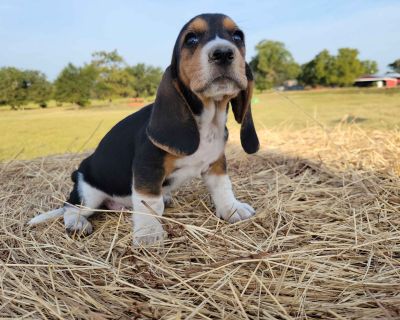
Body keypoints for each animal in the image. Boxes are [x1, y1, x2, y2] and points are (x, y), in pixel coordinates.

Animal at [28, 13, 260, 245]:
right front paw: (149, 232)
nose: (223, 53)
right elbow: (149, 202)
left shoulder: (216, 162)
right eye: (191, 39)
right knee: (69, 207)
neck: (207, 120)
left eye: (237, 36)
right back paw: (77, 224)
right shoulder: (147, 167)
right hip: (89, 194)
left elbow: (222, 187)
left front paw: (232, 208)